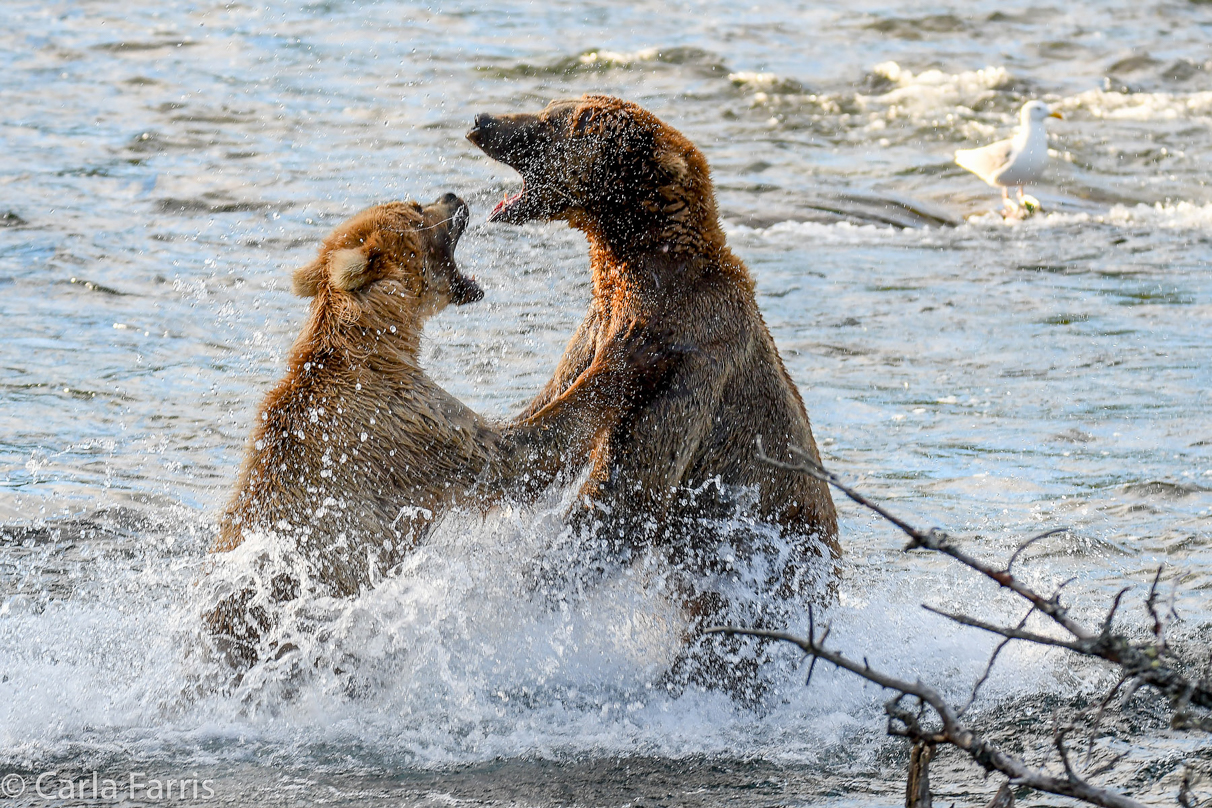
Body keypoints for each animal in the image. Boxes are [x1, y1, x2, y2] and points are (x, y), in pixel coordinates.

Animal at [467, 98, 838, 697]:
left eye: (552, 118)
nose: (482, 121)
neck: (639, 268)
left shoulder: (691, 362)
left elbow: (624, 496)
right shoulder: (598, 328)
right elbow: (542, 434)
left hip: (765, 587)